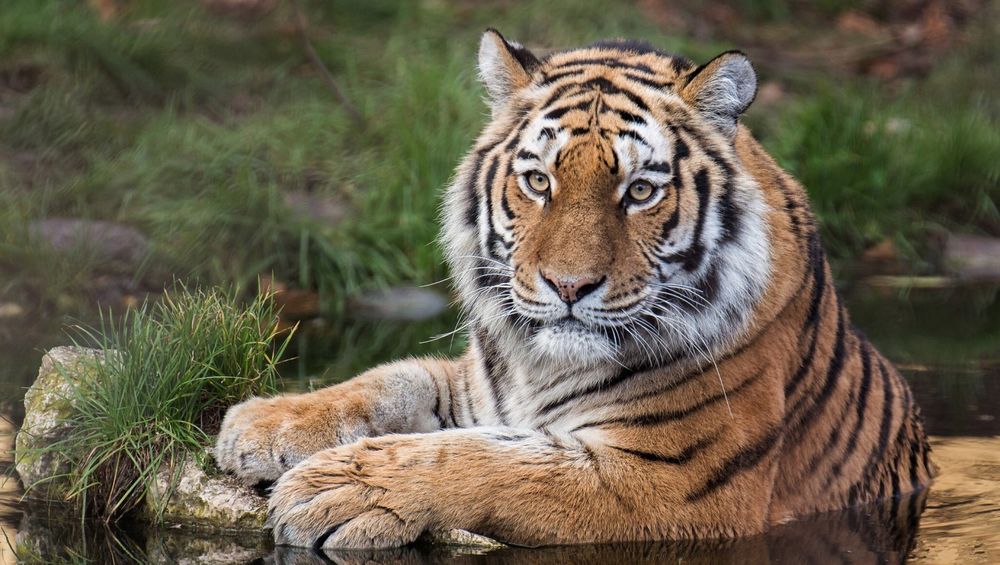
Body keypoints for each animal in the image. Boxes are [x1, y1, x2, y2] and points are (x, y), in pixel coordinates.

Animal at [214, 29, 934, 550]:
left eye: (639, 191)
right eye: (539, 181)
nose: (569, 285)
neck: (541, 367)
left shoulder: (666, 481)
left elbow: (486, 462)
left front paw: (338, 488)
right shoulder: (479, 387)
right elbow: (394, 377)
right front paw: (265, 423)